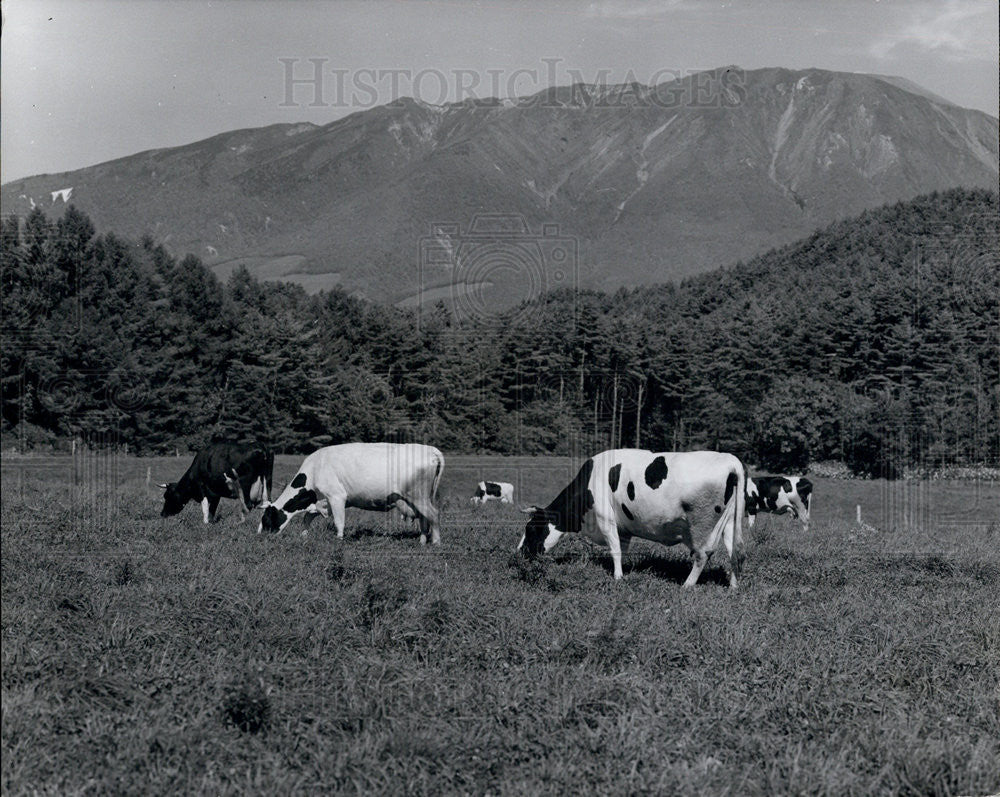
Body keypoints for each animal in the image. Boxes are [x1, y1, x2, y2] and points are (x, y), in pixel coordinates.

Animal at [260, 438, 444, 544]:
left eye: (266, 518)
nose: (261, 536)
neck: (315, 469)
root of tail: (430, 450)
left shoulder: (337, 497)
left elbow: (339, 522)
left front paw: (339, 540)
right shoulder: (323, 502)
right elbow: (307, 518)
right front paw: (304, 536)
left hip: (419, 496)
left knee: (433, 515)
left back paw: (435, 542)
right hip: (418, 499)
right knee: (424, 518)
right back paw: (422, 541)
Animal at [520, 450, 748, 588]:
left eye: (530, 529)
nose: (520, 553)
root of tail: (731, 461)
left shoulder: (606, 519)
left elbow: (615, 549)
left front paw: (618, 577)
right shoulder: (623, 529)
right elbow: (623, 550)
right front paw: (624, 572)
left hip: (702, 524)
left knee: (703, 554)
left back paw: (687, 585)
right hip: (729, 522)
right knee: (735, 552)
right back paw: (733, 586)